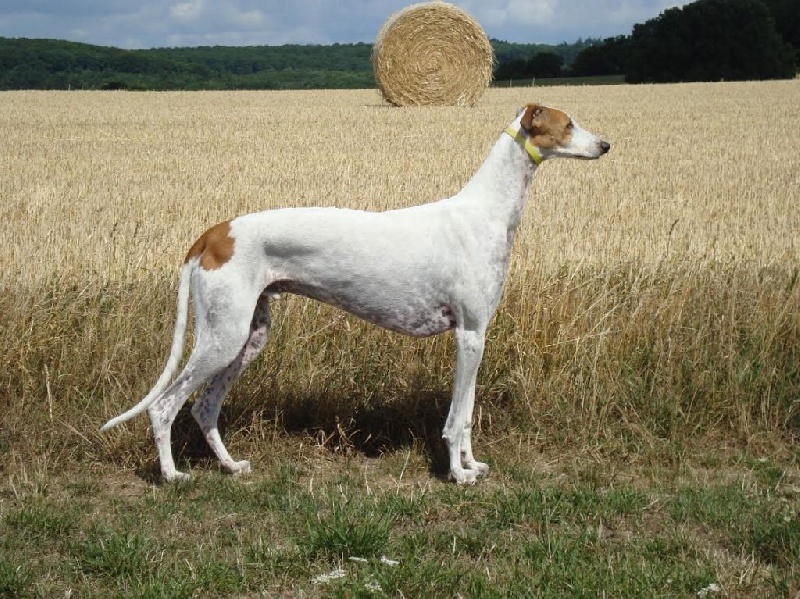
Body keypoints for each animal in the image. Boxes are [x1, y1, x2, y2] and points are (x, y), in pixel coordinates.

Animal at [101, 103, 610, 483]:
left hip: (248, 337)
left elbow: (465, 414)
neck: (484, 211)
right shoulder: (469, 335)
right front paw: (457, 475)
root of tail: (213, 234)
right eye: (568, 123)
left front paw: (472, 465)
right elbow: (456, 418)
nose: (606, 145)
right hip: (221, 336)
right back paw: (172, 476)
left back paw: (230, 466)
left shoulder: (475, 335)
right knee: (164, 406)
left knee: (204, 407)